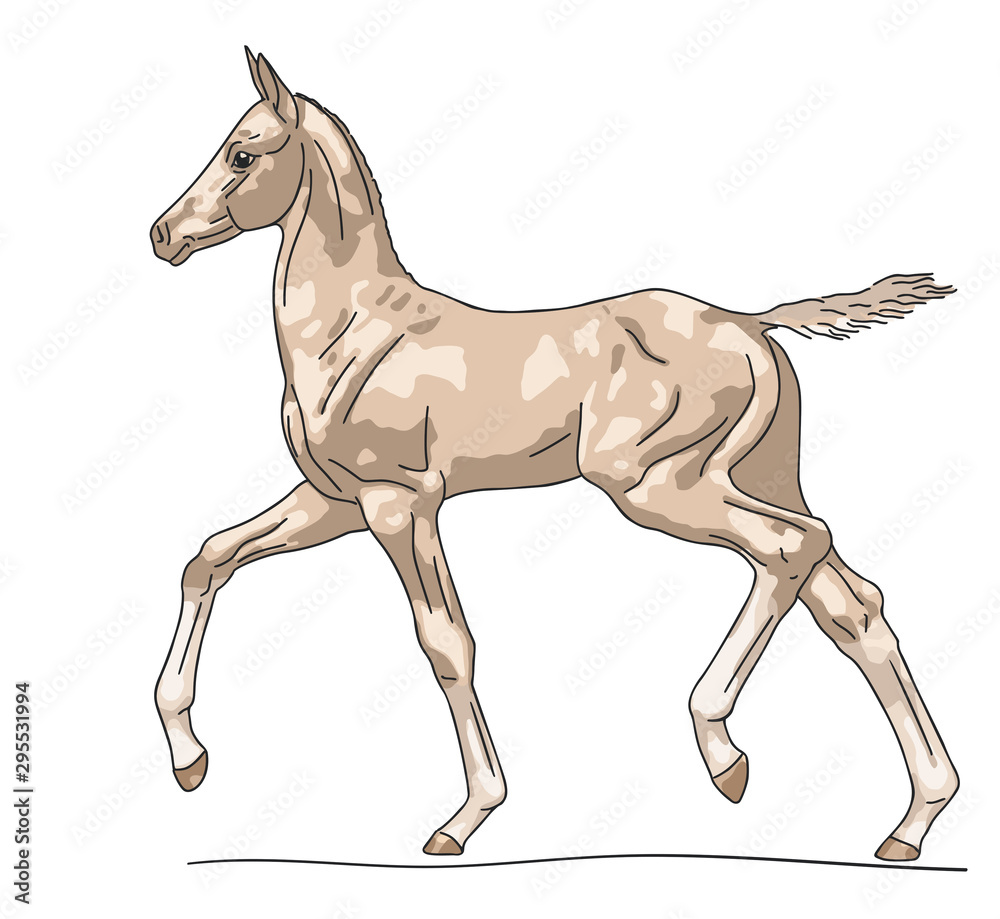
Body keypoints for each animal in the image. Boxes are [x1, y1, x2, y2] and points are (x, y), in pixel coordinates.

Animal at [151, 48, 958, 861]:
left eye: (242, 153)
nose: (162, 235)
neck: (354, 328)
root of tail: (750, 323)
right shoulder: (334, 501)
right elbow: (209, 558)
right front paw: (189, 761)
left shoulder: (399, 501)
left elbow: (446, 642)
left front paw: (465, 818)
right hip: (755, 476)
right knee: (852, 603)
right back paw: (913, 821)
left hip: (655, 484)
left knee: (791, 548)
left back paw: (725, 754)